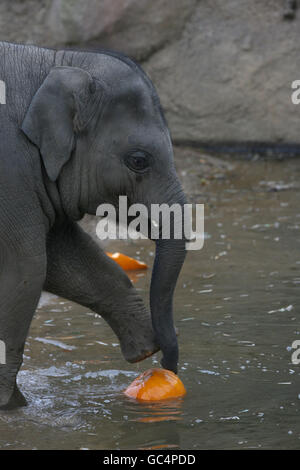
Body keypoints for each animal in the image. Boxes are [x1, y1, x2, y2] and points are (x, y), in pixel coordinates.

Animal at [0, 41, 186, 408]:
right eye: (139, 161)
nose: (165, 364)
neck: (49, 63)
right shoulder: (9, 172)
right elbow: (26, 268)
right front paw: (8, 405)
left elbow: (63, 258)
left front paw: (143, 347)